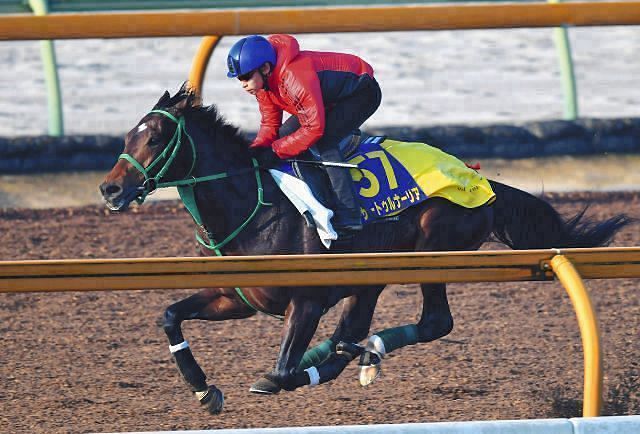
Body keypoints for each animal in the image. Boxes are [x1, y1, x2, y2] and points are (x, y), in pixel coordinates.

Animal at [100, 84, 632, 414]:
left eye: (157, 137)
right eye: (127, 135)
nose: (110, 189)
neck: (253, 204)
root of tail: (481, 180)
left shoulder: (306, 300)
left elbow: (283, 371)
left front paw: (294, 371)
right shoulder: (238, 298)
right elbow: (170, 314)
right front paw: (203, 389)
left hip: (433, 248)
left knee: (434, 322)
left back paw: (363, 351)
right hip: (371, 276)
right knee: (359, 326)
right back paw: (353, 351)